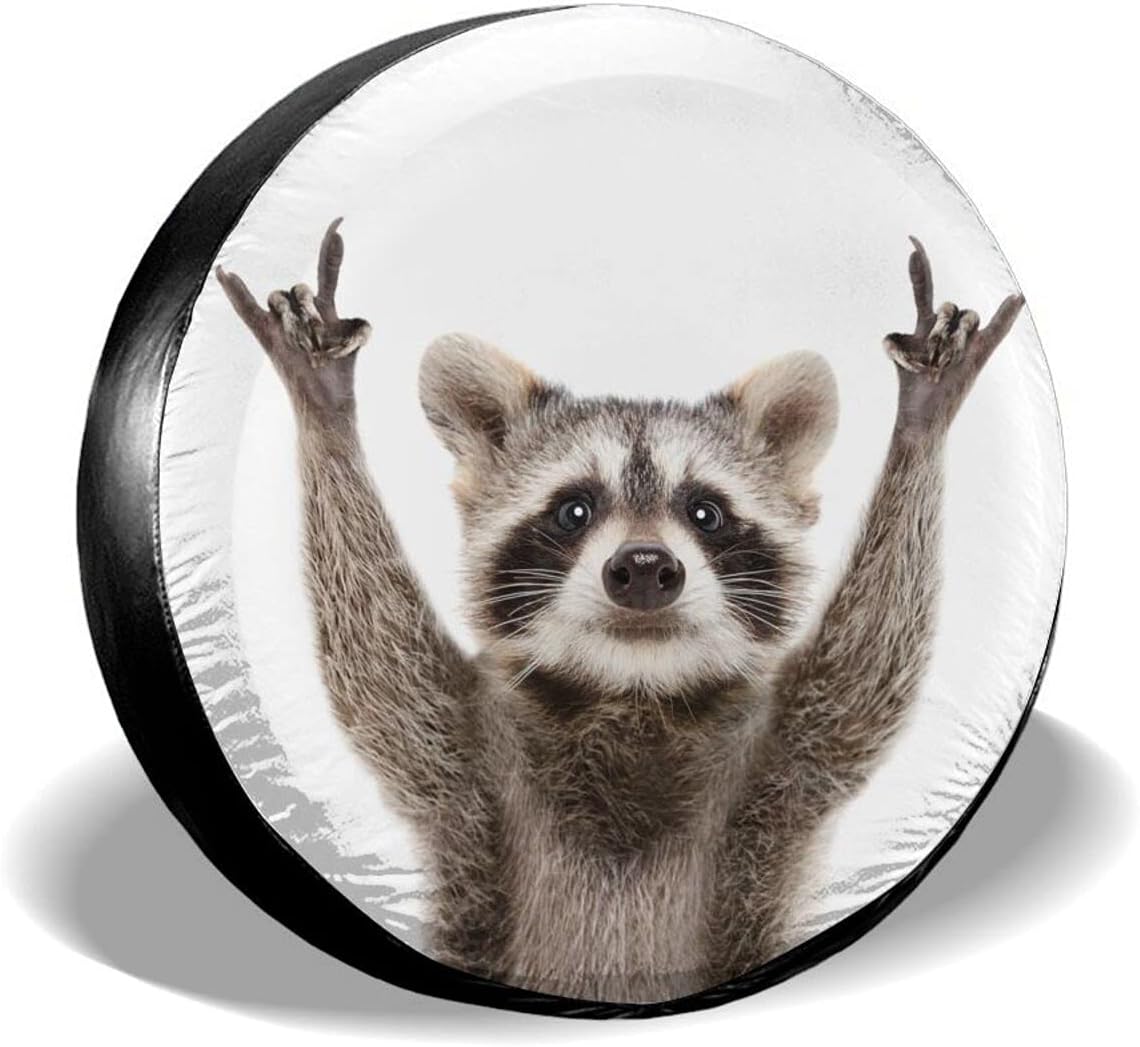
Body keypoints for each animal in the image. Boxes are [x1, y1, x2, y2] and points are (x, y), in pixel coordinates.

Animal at [216, 222, 1024, 1003]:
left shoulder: (784, 759)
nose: (642, 569)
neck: (633, 690)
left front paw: (921, 424)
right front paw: (325, 411)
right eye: (575, 509)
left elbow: (867, 669)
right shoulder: (467, 757)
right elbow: (378, 663)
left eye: (705, 512)